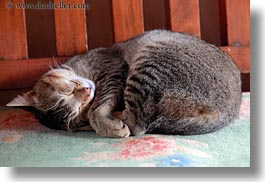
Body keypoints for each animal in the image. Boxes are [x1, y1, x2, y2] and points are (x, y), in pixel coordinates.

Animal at [6, 29, 241, 138]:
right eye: (76, 111)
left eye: (66, 91)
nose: (87, 91)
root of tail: (228, 111)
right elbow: (96, 112)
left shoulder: (114, 70)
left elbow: (98, 109)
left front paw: (106, 124)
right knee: (140, 123)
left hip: (148, 61)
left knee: (139, 125)